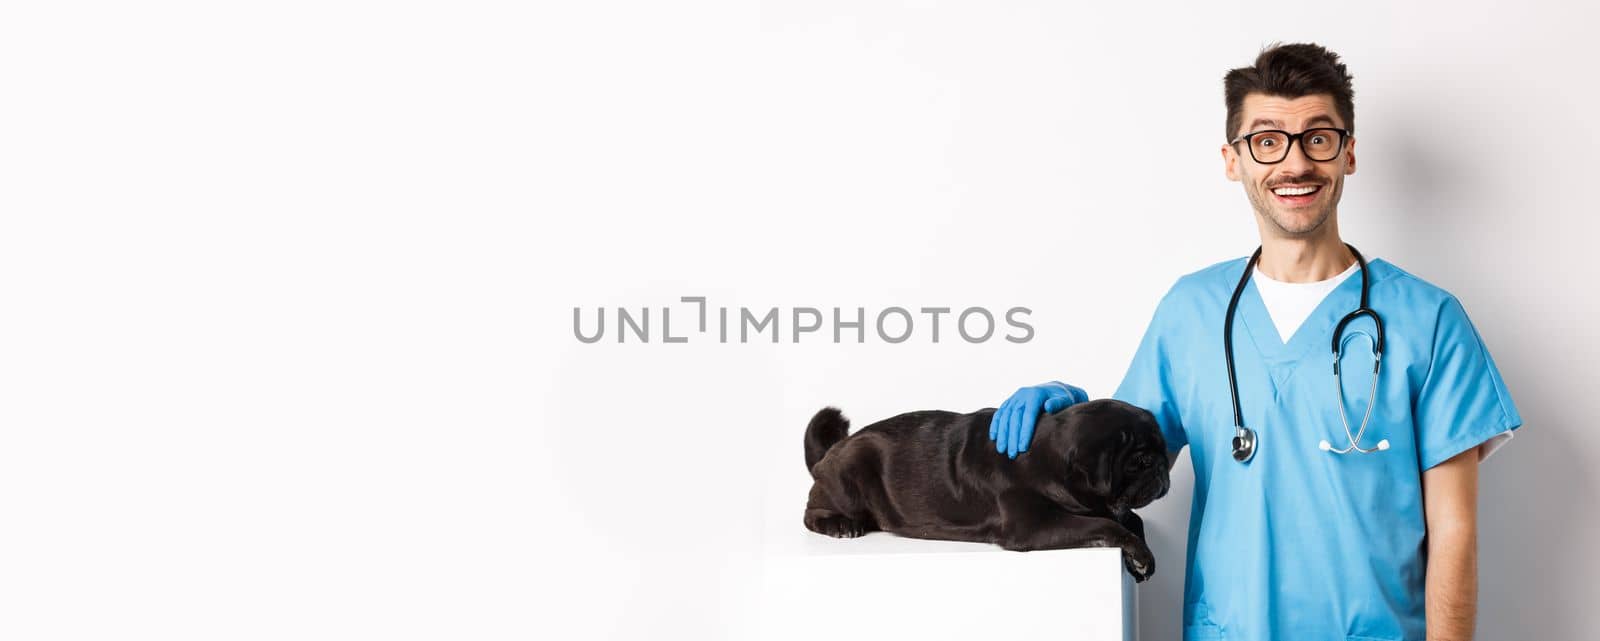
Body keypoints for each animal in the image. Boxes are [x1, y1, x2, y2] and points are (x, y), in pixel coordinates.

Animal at [806, 394, 1171, 578]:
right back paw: (841, 525)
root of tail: (835, 448)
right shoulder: (1033, 526)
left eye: (1162, 450)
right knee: (812, 512)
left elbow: (1131, 519)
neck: (1049, 454)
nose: (1161, 467)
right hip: (850, 475)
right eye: (1138, 461)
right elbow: (1106, 525)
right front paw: (1139, 554)